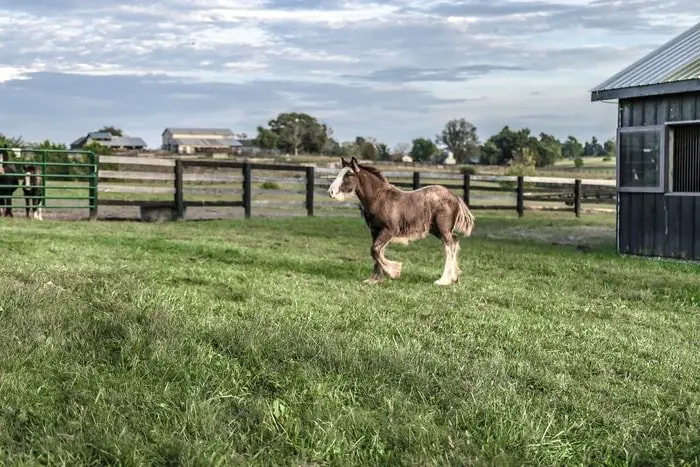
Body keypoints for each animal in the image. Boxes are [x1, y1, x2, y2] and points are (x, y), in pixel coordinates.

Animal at [328, 157, 476, 286]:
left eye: (348, 174)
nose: (331, 192)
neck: (379, 199)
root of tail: (455, 196)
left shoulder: (389, 230)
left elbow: (375, 250)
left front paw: (394, 271)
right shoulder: (375, 231)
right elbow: (376, 252)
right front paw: (374, 279)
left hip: (443, 229)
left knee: (449, 246)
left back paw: (443, 280)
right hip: (437, 230)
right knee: (455, 241)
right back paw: (454, 277)